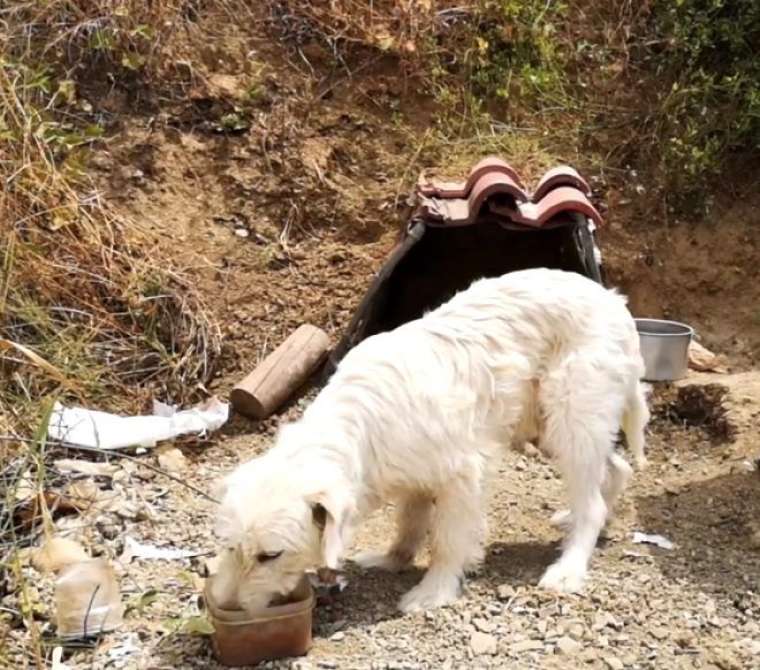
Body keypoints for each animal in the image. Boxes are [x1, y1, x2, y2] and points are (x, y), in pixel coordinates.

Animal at [211, 268, 652, 616]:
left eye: (270, 556)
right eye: (231, 547)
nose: (226, 606)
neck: (358, 428)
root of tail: (615, 302)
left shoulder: (462, 476)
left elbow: (447, 541)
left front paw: (433, 591)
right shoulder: (414, 478)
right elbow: (409, 524)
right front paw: (392, 559)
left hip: (572, 417)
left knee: (592, 502)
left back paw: (569, 566)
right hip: (551, 426)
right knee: (615, 469)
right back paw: (575, 518)